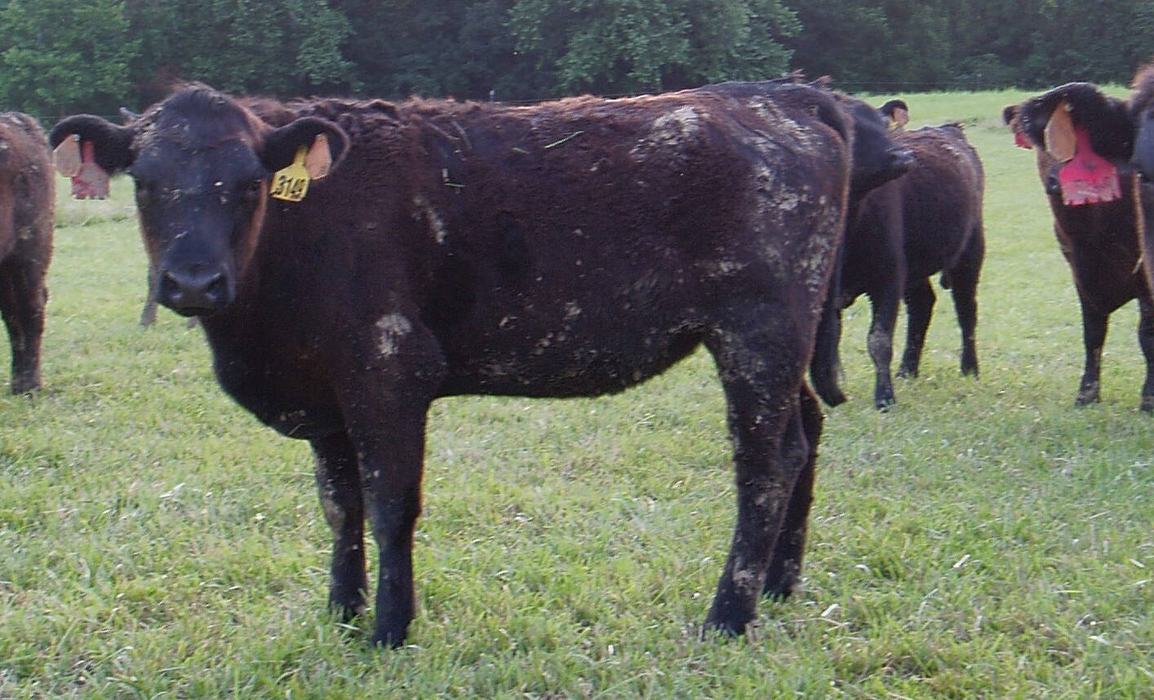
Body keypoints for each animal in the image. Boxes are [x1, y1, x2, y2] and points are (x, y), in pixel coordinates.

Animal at [50, 81, 910, 647]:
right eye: (146, 183)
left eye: (247, 184)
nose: (193, 282)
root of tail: (778, 96)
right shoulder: (326, 395)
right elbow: (339, 506)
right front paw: (340, 610)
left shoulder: (389, 372)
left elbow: (389, 505)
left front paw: (389, 629)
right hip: (780, 340)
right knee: (805, 434)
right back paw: (779, 584)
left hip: (757, 332)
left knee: (767, 459)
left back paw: (728, 616)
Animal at [811, 103, 985, 409]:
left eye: (883, 124)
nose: (902, 155)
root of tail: (950, 128)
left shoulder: (888, 277)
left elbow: (878, 341)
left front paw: (884, 398)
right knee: (922, 305)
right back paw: (907, 370)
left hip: (970, 252)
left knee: (966, 310)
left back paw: (969, 368)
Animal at [1007, 79, 1154, 411]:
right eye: (1042, 146)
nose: (1056, 181)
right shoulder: (1081, 272)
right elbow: (1093, 333)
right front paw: (1087, 393)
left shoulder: (1143, 275)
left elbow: (1146, 334)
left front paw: (1149, 397)